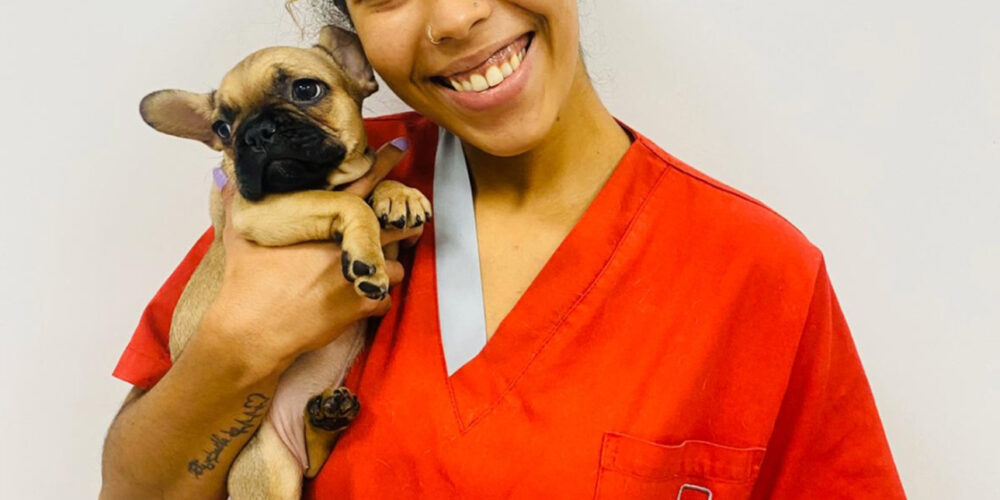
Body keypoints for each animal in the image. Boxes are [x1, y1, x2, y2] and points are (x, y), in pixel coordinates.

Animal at [139, 25, 431, 499]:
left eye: (306, 89)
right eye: (222, 127)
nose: (253, 134)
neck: (325, 180)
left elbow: (376, 187)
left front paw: (396, 194)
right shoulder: (262, 213)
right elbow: (349, 204)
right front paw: (365, 257)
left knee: (314, 465)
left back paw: (327, 416)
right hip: (268, 465)